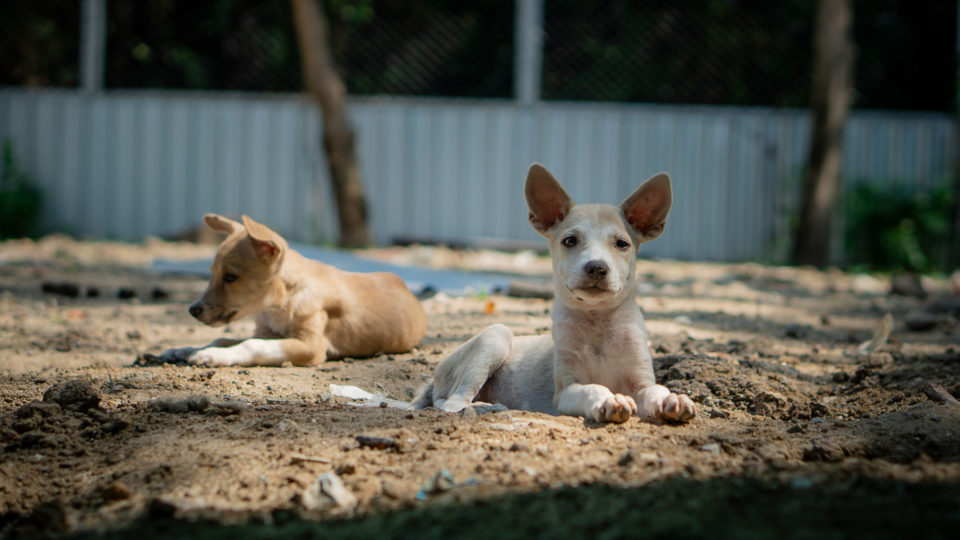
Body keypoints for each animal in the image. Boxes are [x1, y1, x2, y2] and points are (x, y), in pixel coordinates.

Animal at [152, 214, 426, 368]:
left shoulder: (311, 346)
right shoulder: (268, 333)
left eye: (231, 277)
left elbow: (251, 345)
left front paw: (211, 356)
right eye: (210, 273)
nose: (192, 310)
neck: (279, 304)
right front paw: (184, 350)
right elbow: (222, 339)